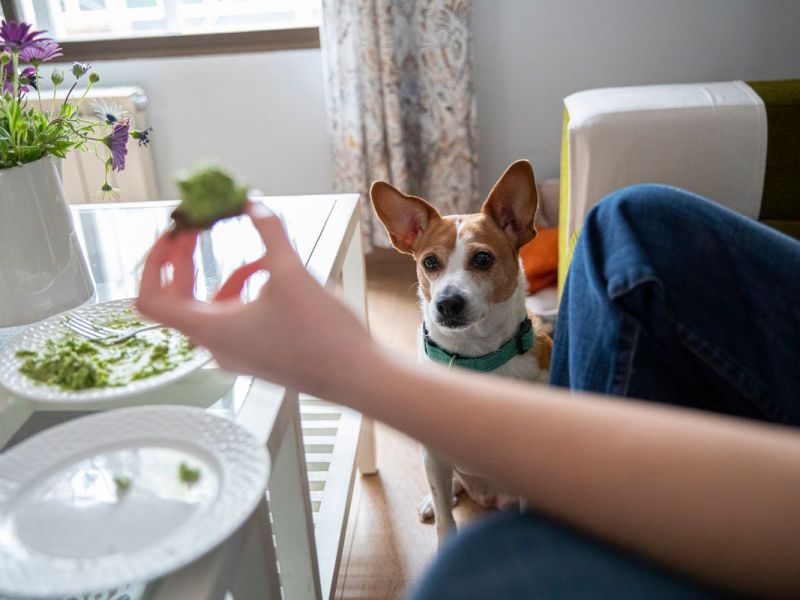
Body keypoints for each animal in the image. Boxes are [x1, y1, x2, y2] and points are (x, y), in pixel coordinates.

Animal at [370, 158, 552, 544]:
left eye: (482, 259)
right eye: (430, 263)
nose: (447, 303)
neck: (476, 358)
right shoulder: (436, 455)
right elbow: (445, 519)